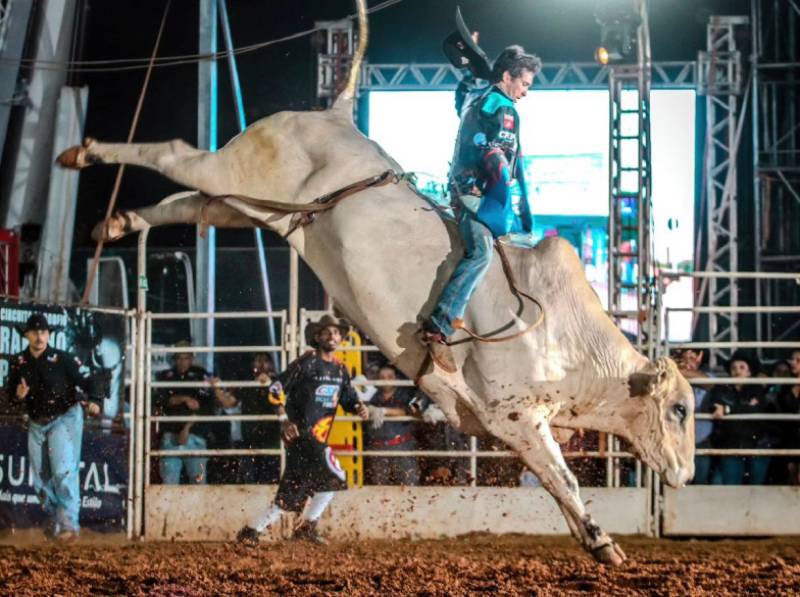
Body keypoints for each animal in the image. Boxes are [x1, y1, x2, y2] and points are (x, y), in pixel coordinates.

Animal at [57, 0, 692, 564]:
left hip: (260, 208)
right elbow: (563, 480)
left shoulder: (516, 428)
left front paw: (596, 541)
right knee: (175, 155)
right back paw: (80, 153)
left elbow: (555, 484)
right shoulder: (515, 418)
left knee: (194, 203)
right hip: (237, 168)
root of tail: (336, 114)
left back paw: (118, 221)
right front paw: (603, 540)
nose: (684, 473)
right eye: (681, 410)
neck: (564, 339)